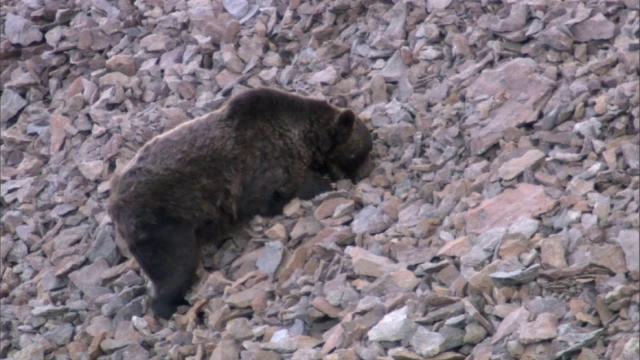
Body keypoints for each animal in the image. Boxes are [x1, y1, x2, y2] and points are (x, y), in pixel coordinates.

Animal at [107, 88, 372, 318]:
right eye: (358, 154)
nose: (358, 175)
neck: (300, 134)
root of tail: (114, 204)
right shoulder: (261, 168)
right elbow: (280, 193)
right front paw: (325, 183)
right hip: (161, 222)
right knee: (175, 266)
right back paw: (176, 306)